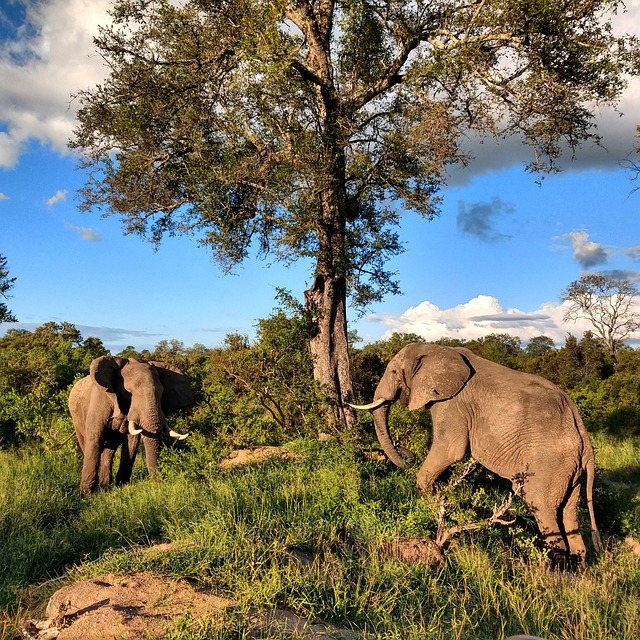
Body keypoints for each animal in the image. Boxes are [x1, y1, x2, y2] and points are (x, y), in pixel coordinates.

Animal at [69, 355, 193, 495]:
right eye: (129, 394)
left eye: (161, 394)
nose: (157, 485)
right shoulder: (99, 401)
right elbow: (95, 437)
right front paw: (87, 494)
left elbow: (132, 441)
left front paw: (122, 486)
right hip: (75, 417)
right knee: (86, 444)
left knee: (110, 449)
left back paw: (105, 486)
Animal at [350, 343, 602, 568]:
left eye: (394, 372)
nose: (406, 457)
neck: (436, 348)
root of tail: (584, 438)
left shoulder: (452, 404)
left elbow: (450, 449)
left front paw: (427, 502)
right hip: (569, 470)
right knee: (568, 512)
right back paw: (578, 571)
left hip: (549, 463)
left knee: (541, 507)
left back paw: (554, 571)